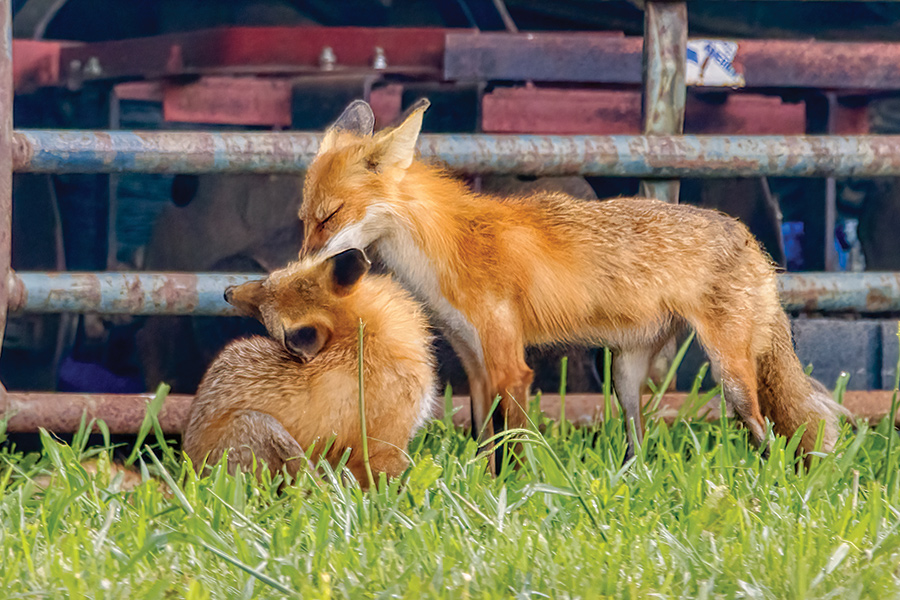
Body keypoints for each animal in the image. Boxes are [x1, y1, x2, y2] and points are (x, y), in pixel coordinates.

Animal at [182, 248, 437, 486]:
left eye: (265, 283)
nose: (227, 293)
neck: (359, 339)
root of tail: (190, 471)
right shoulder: (386, 447)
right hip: (263, 425)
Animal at [298, 98, 850, 460]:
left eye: (330, 217)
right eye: (305, 219)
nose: (302, 266)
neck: (445, 246)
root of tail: (748, 237)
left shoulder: (511, 366)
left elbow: (512, 446)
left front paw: (510, 498)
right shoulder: (474, 364)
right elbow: (483, 443)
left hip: (731, 378)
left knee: (765, 434)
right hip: (625, 375)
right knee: (639, 443)